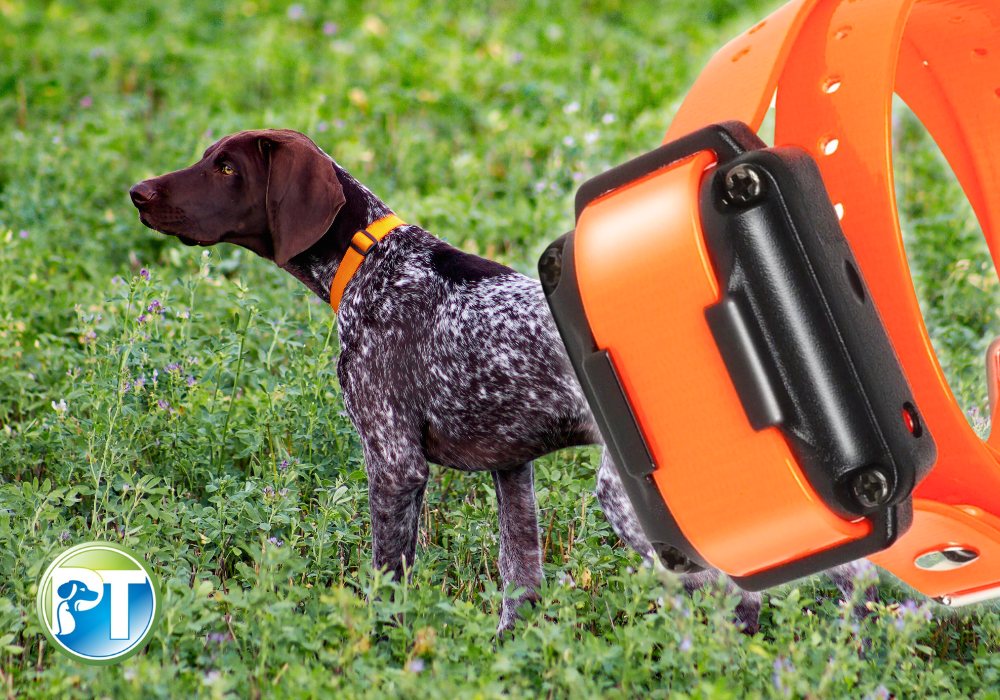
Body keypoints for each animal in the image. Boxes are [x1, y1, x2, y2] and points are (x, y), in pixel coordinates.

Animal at [129, 127, 872, 636]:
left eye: (226, 167)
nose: (139, 193)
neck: (370, 261)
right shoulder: (511, 470)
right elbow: (521, 581)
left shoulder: (393, 463)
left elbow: (388, 579)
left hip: (632, 504)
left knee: (738, 596)